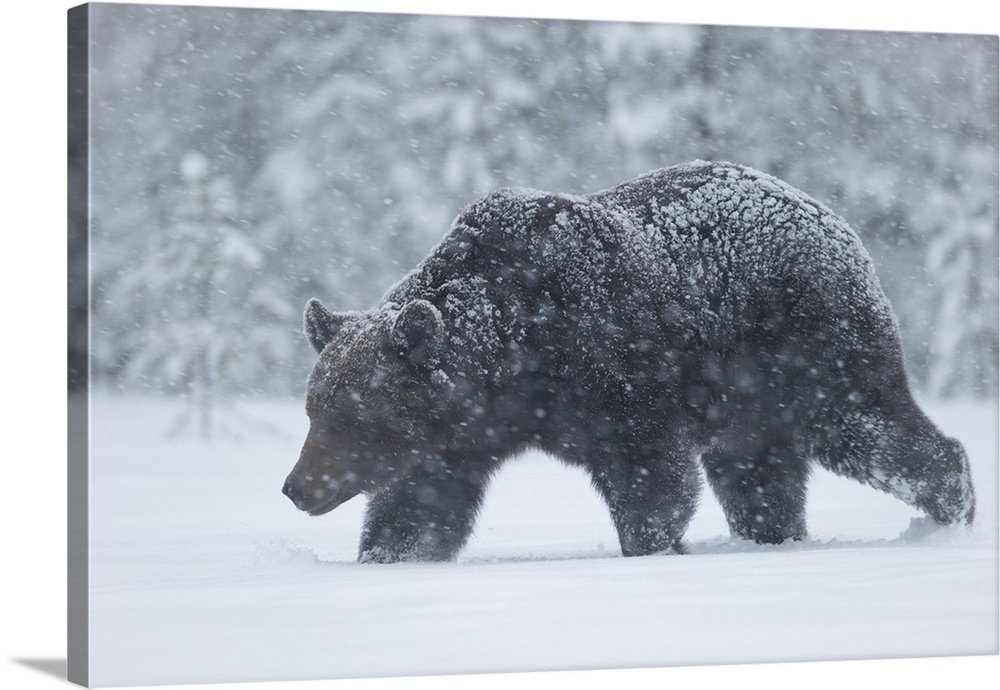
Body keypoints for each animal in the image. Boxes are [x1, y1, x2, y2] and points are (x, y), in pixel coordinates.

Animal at [282, 164, 976, 560]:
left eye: (351, 415)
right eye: (314, 410)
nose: (296, 487)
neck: (514, 362)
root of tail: (834, 220)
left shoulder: (620, 375)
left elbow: (650, 482)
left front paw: (649, 547)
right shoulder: (459, 438)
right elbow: (420, 506)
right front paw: (387, 556)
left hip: (804, 345)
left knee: (866, 425)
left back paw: (953, 510)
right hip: (745, 402)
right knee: (758, 478)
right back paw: (773, 537)